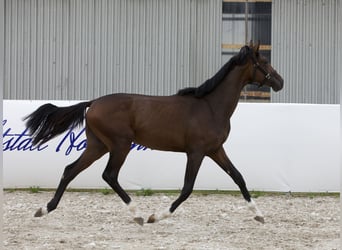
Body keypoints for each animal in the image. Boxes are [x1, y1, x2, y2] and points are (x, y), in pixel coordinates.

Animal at [26, 43, 284, 225]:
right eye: (264, 61)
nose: (280, 81)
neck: (211, 106)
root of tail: (93, 103)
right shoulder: (196, 152)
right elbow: (187, 187)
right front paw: (156, 216)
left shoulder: (215, 150)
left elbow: (238, 177)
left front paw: (259, 215)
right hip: (119, 145)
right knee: (109, 175)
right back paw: (138, 215)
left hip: (97, 145)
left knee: (70, 170)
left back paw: (44, 209)